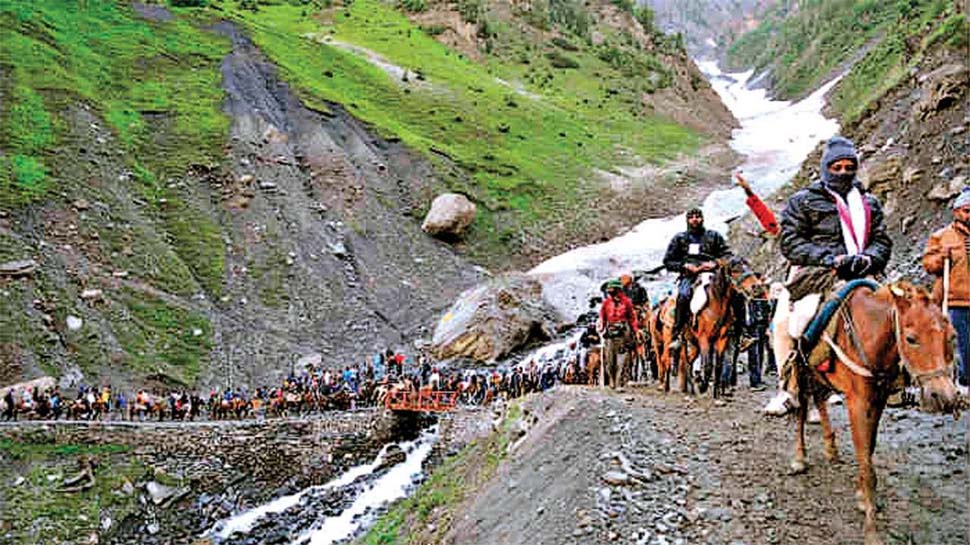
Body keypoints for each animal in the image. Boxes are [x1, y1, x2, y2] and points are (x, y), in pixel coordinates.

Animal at [788, 280, 960, 544]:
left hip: (820, 375)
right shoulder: (857, 403)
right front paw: (871, 528)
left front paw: (863, 496)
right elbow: (864, 459)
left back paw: (831, 449)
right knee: (802, 409)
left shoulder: (878, 401)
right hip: (802, 369)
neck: (870, 335)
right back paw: (799, 458)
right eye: (911, 339)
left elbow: (868, 450)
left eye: (951, 336)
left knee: (819, 399)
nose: (944, 397)